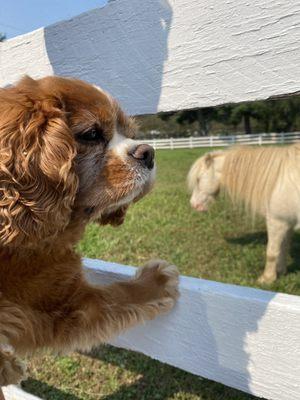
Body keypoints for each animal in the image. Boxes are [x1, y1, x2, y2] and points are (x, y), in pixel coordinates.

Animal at [0, 76, 179, 390]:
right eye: (92, 134)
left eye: (129, 133)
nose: (149, 152)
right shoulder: (62, 303)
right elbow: (120, 294)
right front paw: (155, 282)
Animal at [188, 145, 300, 282]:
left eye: (198, 179)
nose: (193, 204)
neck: (277, 181)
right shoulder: (287, 223)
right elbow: (283, 248)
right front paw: (280, 272)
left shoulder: (277, 222)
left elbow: (271, 252)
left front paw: (266, 279)